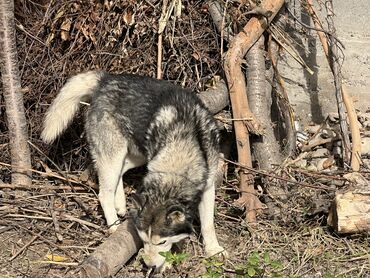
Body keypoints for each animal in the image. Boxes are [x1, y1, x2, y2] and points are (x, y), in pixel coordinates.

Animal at [40, 71, 225, 270]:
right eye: (143, 239)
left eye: (162, 242)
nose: (149, 265)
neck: (183, 145)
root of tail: (105, 78)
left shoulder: (208, 185)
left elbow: (208, 224)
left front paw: (214, 250)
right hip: (114, 155)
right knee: (104, 193)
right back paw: (114, 225)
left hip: (137, 155)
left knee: (121, 170)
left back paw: (120, 203)